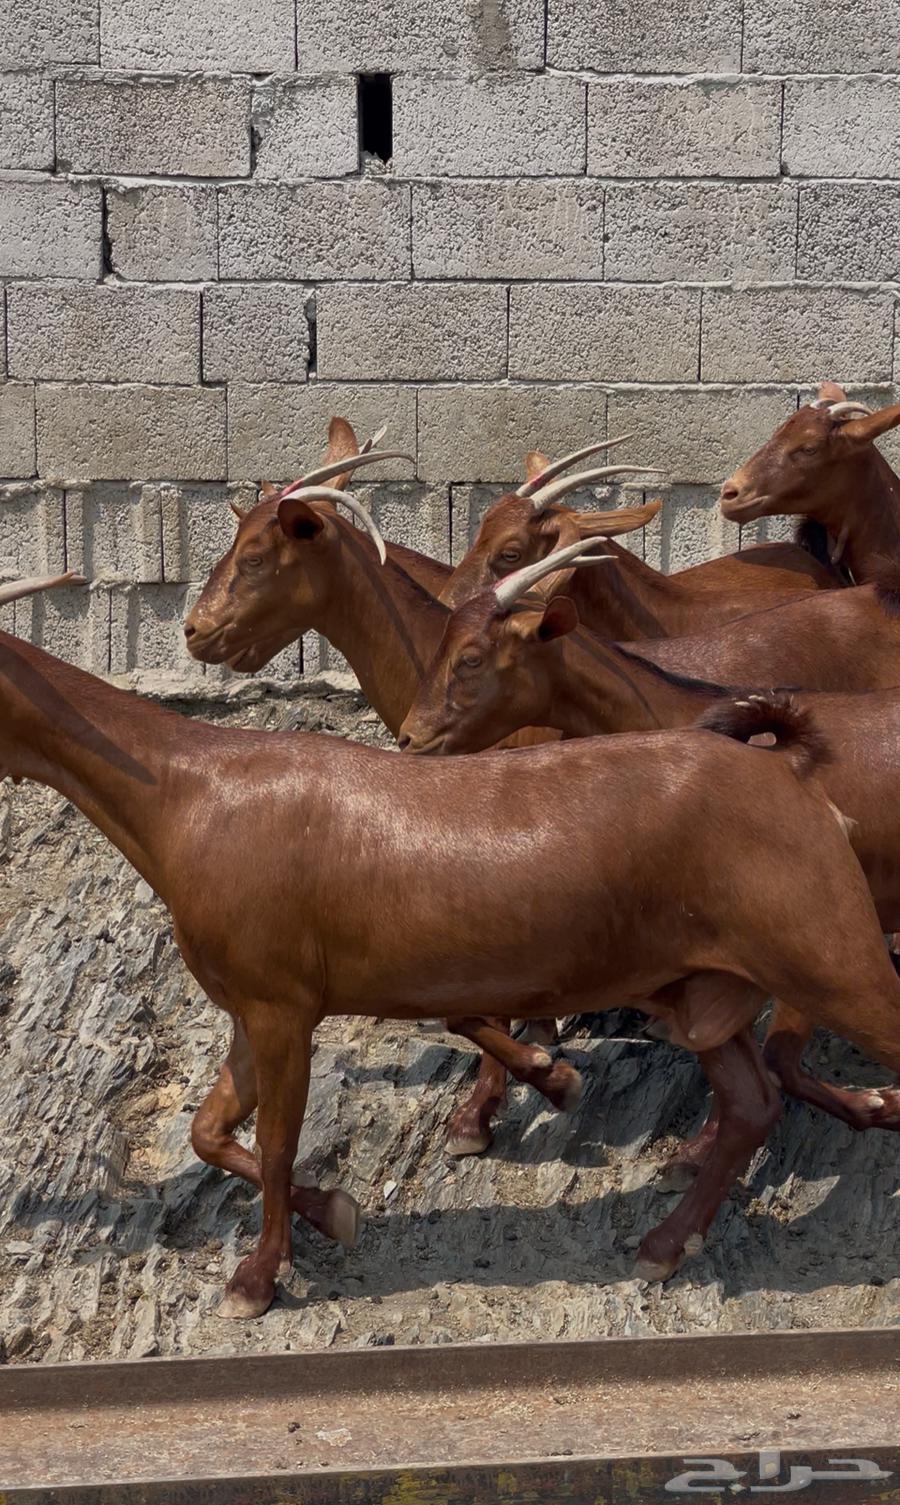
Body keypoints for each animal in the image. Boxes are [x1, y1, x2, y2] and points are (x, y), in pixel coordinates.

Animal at [8, 573, 900, 1318]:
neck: (191, 791)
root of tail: (788, 771)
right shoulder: (248, 1007)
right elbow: (209, 1130)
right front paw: (334, 1211)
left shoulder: (281, 1007)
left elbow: (275, 1142)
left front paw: (258, 1277)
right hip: (701, 985)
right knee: (750, 1102)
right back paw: (663, 1243)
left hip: (831, 954)